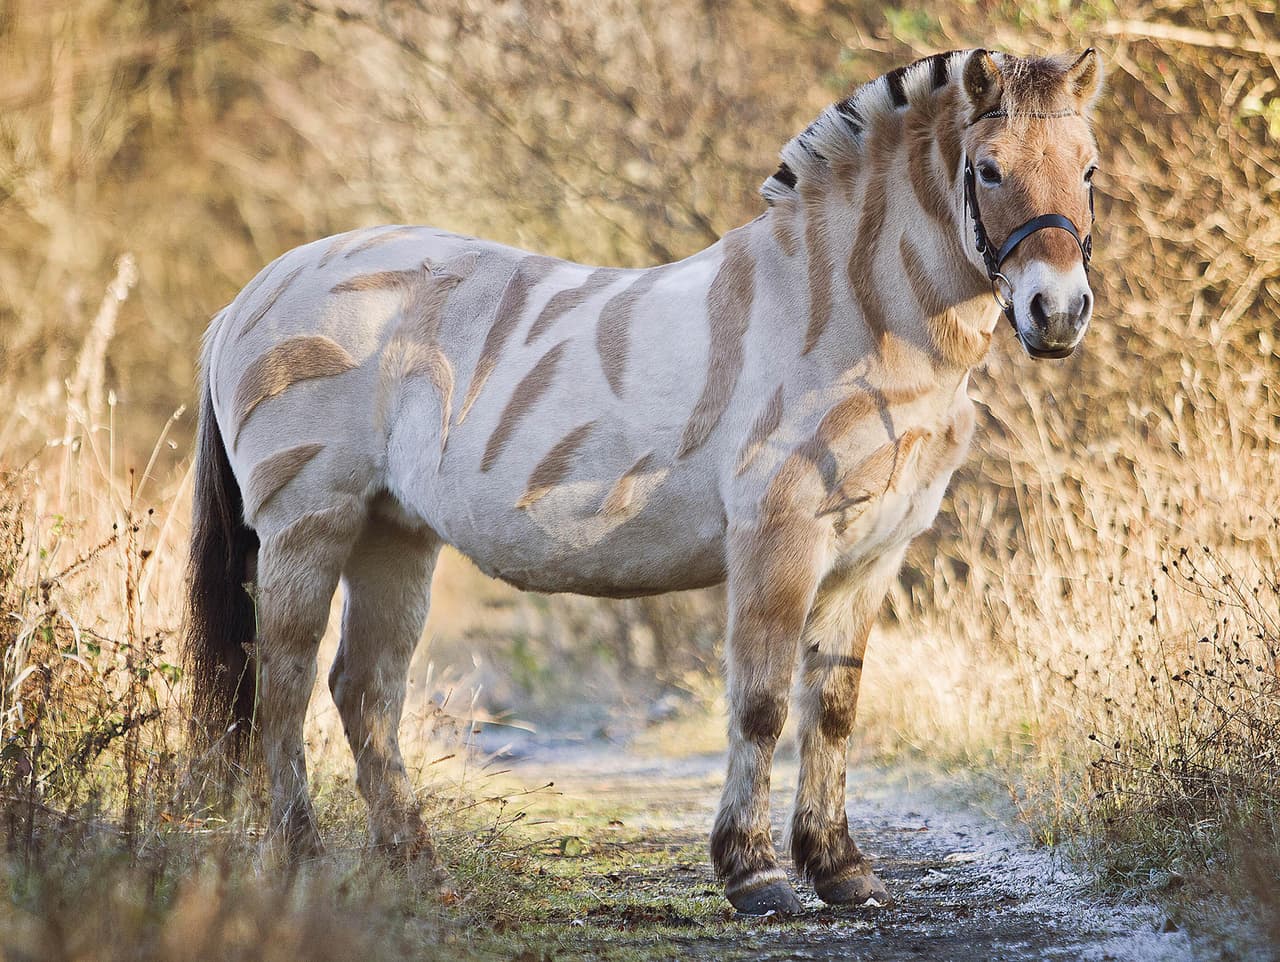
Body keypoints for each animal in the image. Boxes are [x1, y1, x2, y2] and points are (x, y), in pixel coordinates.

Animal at [184, 47, 1101, 915]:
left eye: (1089, 169)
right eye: (989, 169)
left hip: (392, 532)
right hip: (310, 522)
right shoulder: (779, 537)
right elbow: (761, 703)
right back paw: (301, 865)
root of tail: (246, 299)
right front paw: (755, 876)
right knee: (283, 681)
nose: (1057, 314)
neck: (849, 317)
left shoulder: (874, 552)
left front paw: (841, 870)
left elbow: (833, 709)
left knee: (364, 690)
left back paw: (418, 870)